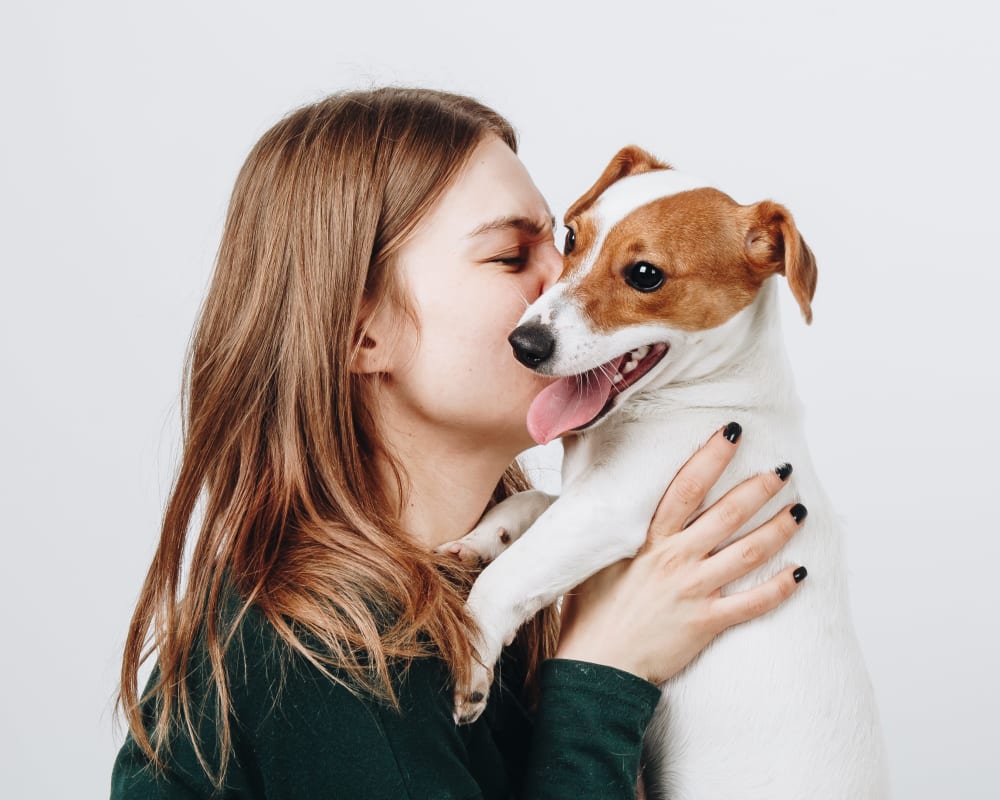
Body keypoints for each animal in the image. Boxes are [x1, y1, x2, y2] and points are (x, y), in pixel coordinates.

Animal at [444, 147, 892, 796]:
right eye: (571, 237)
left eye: (645, 274)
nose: (523, 344)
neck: (711, 395)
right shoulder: (586, 495)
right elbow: (531, 507)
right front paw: (482, 538)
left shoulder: (612, 504)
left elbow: (510, 575)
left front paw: (473, 649)